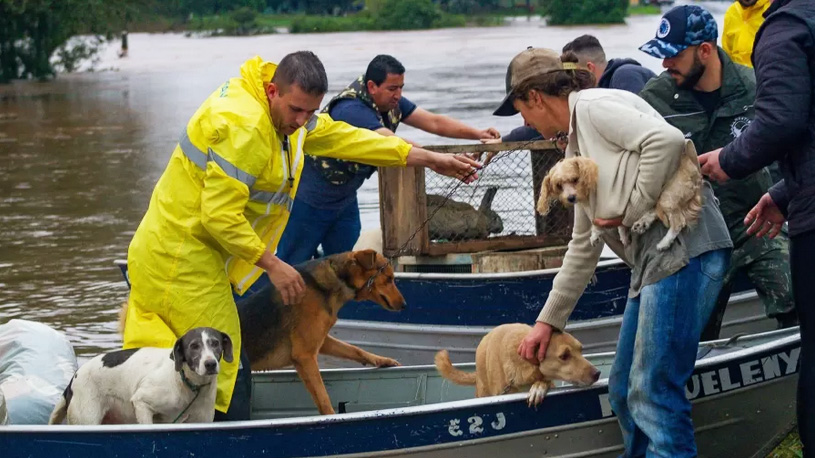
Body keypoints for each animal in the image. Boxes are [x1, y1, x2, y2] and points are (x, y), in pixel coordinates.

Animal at [50, 328, 233, 424]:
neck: (186, 384)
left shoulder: (202, 419)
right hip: (87, 418)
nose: (210, 364)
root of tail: (73, 379)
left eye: (215, 343)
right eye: (194, 346)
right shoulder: (141, 403)